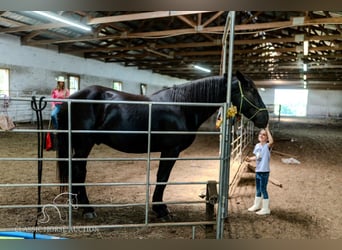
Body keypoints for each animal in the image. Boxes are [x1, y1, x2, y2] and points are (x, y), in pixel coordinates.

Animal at [56, 70, 270, 219]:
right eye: (250, 90)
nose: (264, 118)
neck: (183, 106)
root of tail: (69, 100)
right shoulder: (170, 150)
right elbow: (162, 177)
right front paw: (161, 209)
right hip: (84, 145)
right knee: (78, 171)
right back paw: (87, 209)